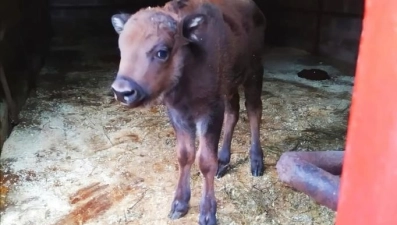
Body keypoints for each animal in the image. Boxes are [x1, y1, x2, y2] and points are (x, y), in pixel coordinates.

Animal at [110, 0, 266, 224]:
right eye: (122, 48)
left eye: (162, 52)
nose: (122, 92)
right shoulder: (178, 113)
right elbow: (185, 155)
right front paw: (179, 204)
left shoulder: (210, 111)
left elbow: (205, 160)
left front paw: (208, 213)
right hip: (230, 87)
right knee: (233, 113)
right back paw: (223, 162)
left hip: (254, 74)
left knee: (254, 111)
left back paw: (256, 163)